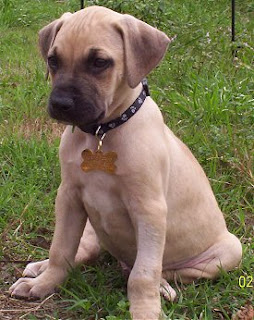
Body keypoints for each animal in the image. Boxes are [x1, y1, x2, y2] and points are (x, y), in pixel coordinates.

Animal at [9, 5, 242, 320]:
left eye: (99, 62)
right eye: (53, 60)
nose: (60, 104)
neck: (102, 132)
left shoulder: (149, 209)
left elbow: (144, 274)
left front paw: (145, 310)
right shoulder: (69, 197)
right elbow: (61, 249)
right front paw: (45, 283)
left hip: (231, 250)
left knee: (160, 270)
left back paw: (162, 287)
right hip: (92, 227)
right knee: (83, 251)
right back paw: (38, 269)